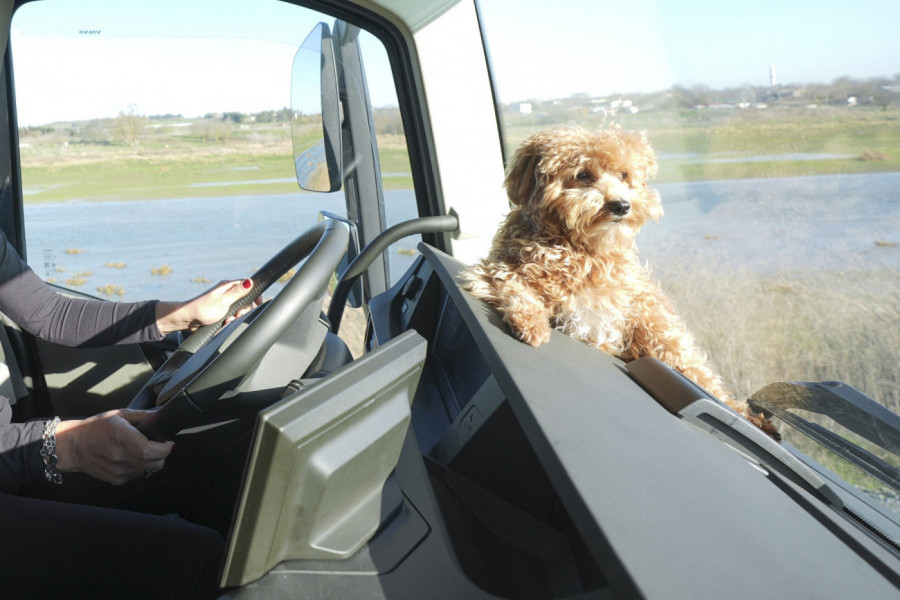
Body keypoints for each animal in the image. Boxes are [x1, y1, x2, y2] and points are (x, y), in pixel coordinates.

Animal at [460, 126, 776, 438]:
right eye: (583, 174)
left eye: (624, 175)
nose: (621, 205)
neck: (576, 249)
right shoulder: (490, 270)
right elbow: (512, 284)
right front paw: (532, 324)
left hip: (661, 333)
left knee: (705, 381)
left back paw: (753, 419)